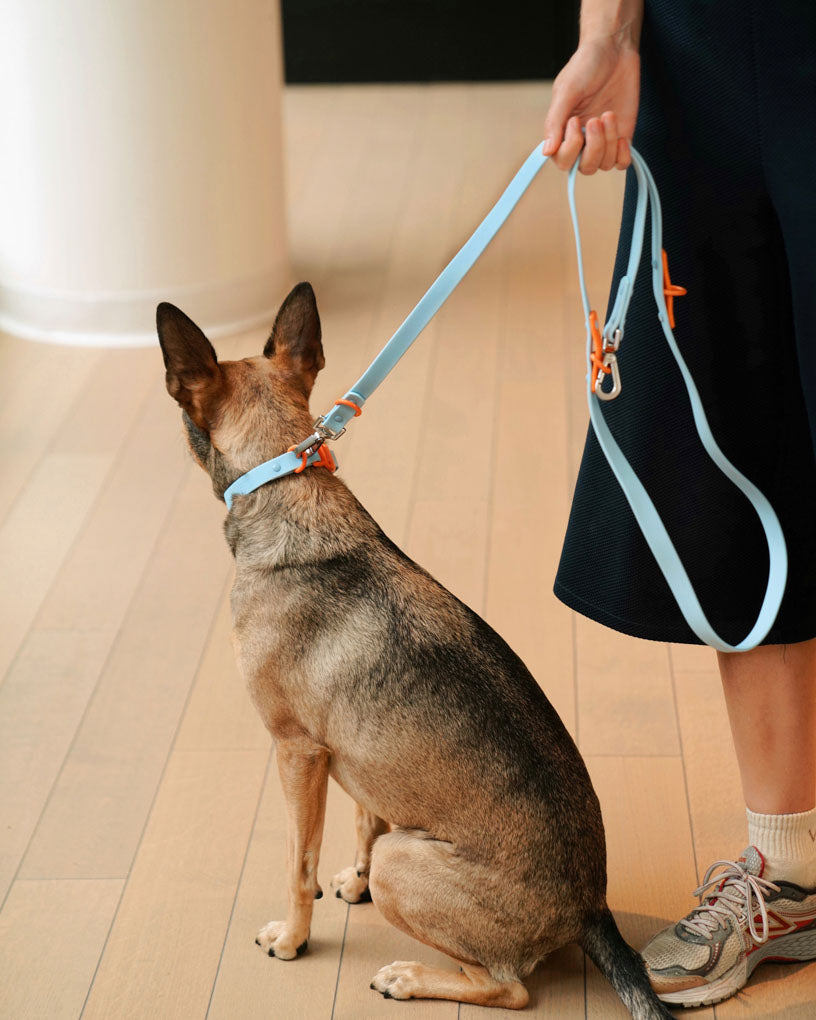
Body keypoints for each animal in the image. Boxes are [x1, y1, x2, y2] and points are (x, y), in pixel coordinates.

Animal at [156, 281, 673, 1020]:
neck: (287, 485)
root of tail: (591, 908)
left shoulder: (296, 753)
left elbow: (297, 865)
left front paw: (292, 938)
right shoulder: (356, 758)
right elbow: (365, 818)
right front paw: (354, 882)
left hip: (409, 862)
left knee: (510, 987)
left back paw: (409, 977)